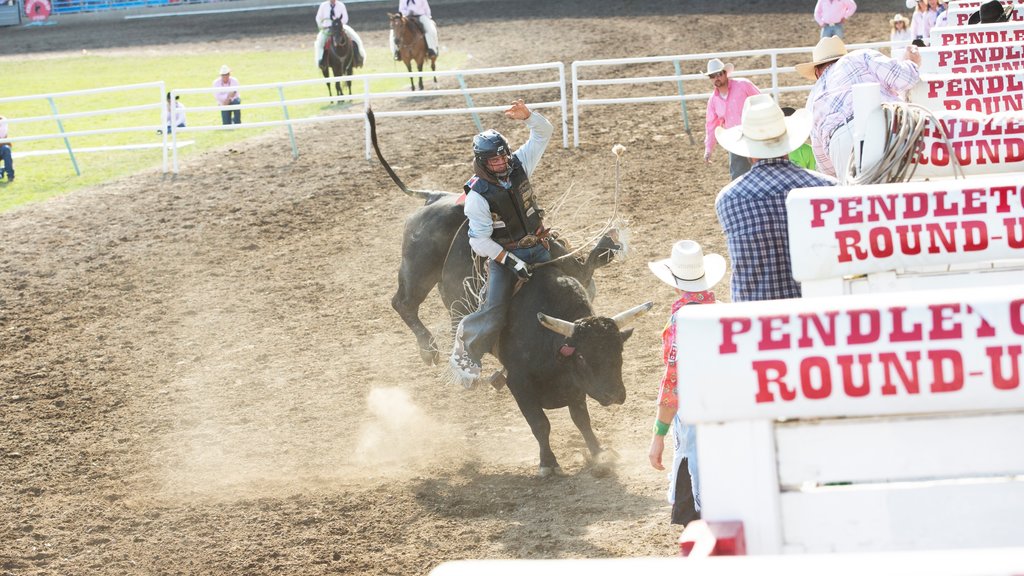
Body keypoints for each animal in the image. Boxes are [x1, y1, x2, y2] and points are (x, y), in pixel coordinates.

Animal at [372, 108, 651, 475]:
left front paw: (599, 452)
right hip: (418, 265)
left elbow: (581, 419)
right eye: (583, 356)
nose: (616, 395)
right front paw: (548, 463)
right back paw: (431, 349)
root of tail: (435, 197)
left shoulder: (573, 386)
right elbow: (540, 425)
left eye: (618, 351)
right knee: (403, 302)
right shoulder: (522, 385)